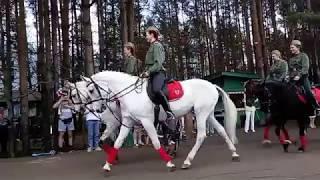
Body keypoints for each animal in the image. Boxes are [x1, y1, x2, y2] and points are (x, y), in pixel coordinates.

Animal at [79, 71, 240, 171]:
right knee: (221, 130)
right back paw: (234, 153)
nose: (96, 110)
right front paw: (107, 165)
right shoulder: (128, 121)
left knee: (201, 136)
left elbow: (156, 142)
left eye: (91, 91)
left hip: (201, 113)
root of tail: (212, 85)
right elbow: (118, 142)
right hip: (208, 114)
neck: (131, 94)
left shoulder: (146, 122)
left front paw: (169, 163)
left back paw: (187, 161)